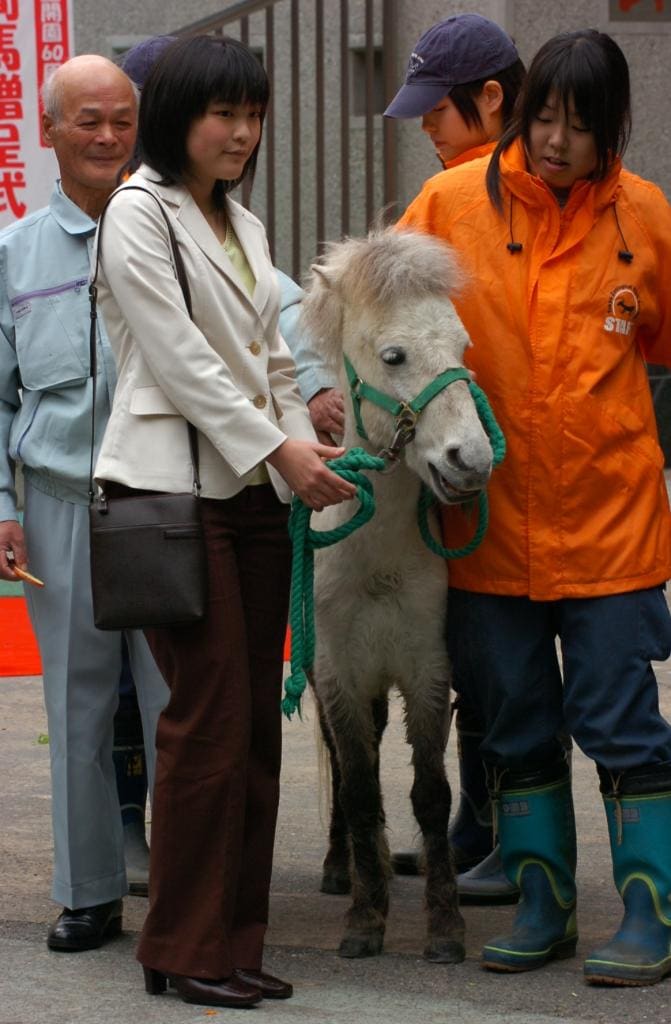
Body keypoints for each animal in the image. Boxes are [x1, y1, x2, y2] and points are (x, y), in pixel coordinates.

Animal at [297, 228, 495, 962]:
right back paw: (341, 870)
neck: (376, 560)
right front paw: (364, 920)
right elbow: (357, 787)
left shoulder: (425, 669)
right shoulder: (340, 675)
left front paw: (444, 927)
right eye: (393, 356)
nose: (471, 460)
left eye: (462, 348)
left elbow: (430, 793)